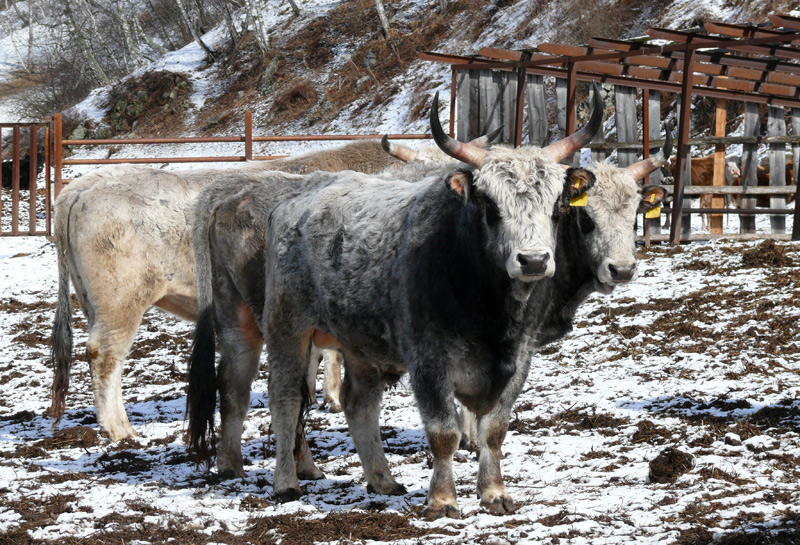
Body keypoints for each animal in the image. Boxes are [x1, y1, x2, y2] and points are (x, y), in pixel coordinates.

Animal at [49, 138, 400, 440]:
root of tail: (84, 185)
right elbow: (332, 352)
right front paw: (333, 397)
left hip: (94, 304)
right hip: (121, 302)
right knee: (105, 355)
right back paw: (118, 428)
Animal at [186, 87, 600, 516]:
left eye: (557, 206)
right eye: (490, 205)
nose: (533, 260)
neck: (489, 304)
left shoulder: (518, 361)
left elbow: (494, 431)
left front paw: (494, 493)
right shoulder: (428, 360)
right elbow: (443, 432)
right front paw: (443, 500)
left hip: (353, 340)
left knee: (357, 403)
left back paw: (381, 479)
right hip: (280, 326)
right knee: (278, 395)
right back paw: (283, 480)